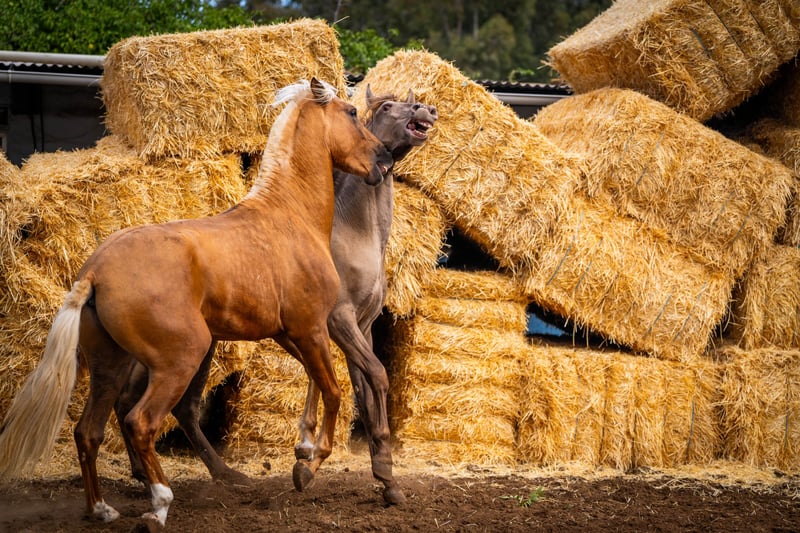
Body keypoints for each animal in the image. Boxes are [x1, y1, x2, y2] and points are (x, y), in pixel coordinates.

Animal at [0, 77, 393, 528]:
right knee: (140, 421)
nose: (383, 158)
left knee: (89, 430)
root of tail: (95, 271)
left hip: (110, 366)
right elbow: (333, 391)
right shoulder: (311, 328)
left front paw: (306, 452)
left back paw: (102, 509)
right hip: (181, 359)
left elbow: (322, 385)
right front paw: (308, 468)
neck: (290, 216)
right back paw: (159, 503)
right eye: (351, 113)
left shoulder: (289, 334)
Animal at [115, 87, 438, 505]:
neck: (354, 233)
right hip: (189, 350)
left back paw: (163, 474)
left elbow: (362, 386)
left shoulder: (360, 326)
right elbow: (363, 377)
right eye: (385, 107)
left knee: (146, 404)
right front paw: (309, 457)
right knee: (157, 406)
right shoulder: (335, 321)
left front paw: (384, 476)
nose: (426, 110)